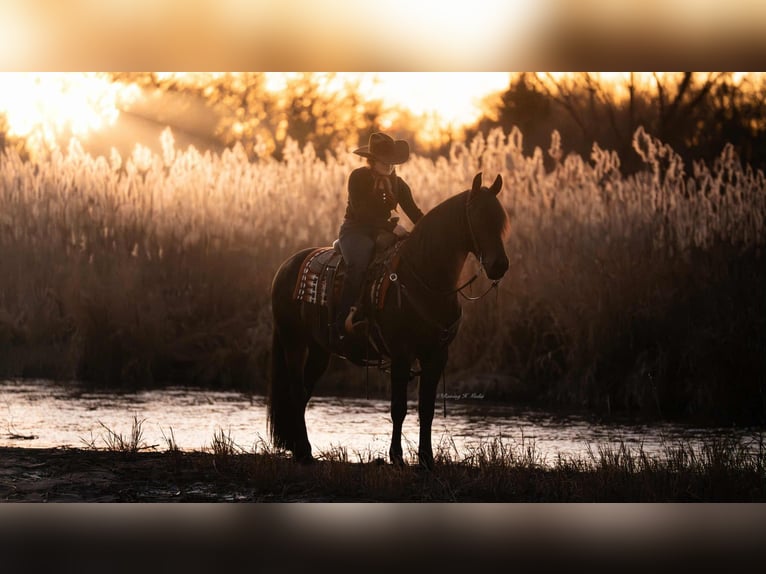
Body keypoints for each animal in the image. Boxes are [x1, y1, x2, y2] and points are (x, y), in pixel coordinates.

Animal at [268, 172, 510, 468]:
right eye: (477, 216)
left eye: (500, 218)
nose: (500, 265)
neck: (425, 278)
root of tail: (286, 266)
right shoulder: (401, 354)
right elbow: (398, 408)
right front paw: (396, 456)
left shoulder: (437, 355)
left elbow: (426, 409)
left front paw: (426, 458)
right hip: (293, 342)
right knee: (295, 391)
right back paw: (303, 451)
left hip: (319, 350)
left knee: (303, 393)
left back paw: (300, 449)